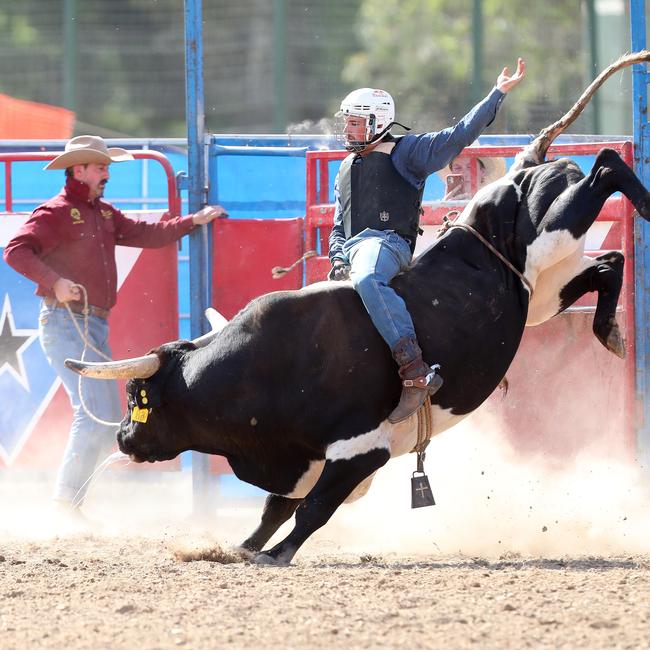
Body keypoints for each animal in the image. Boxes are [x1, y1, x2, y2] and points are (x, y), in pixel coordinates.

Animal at [64, 50, 648, 560]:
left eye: (138, 395)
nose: (122, 437)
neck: (271, 365)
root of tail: (523, 164)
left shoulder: (360, 447)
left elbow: (313, 509)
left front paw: (274, 556)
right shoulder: (302, 460)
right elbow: (276, 507)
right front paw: (242, 547)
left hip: (555, 223)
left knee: (604, 166)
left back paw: (637, 200)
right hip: (545, 286)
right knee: (608, 262)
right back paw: (609, 332)